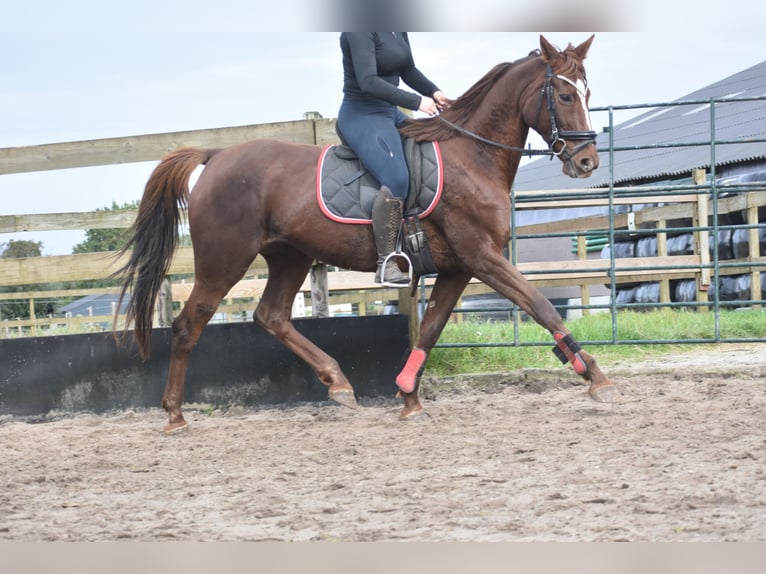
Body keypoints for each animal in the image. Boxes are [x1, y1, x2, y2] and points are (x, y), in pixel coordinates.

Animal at [115, 35, 616, 432]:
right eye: (565, 95)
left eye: (589, 92)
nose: (587, 162)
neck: (472, 156)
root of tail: (216, 156)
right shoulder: (482, 257)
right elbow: (540, 305)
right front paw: (596, 376)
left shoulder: (458, 267)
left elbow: (430, 330)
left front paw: (409, 396)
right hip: (223, 262)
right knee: (188, 326)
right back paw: (175, 414)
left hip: (290, 256)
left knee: (272, 316)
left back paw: (338, 383)